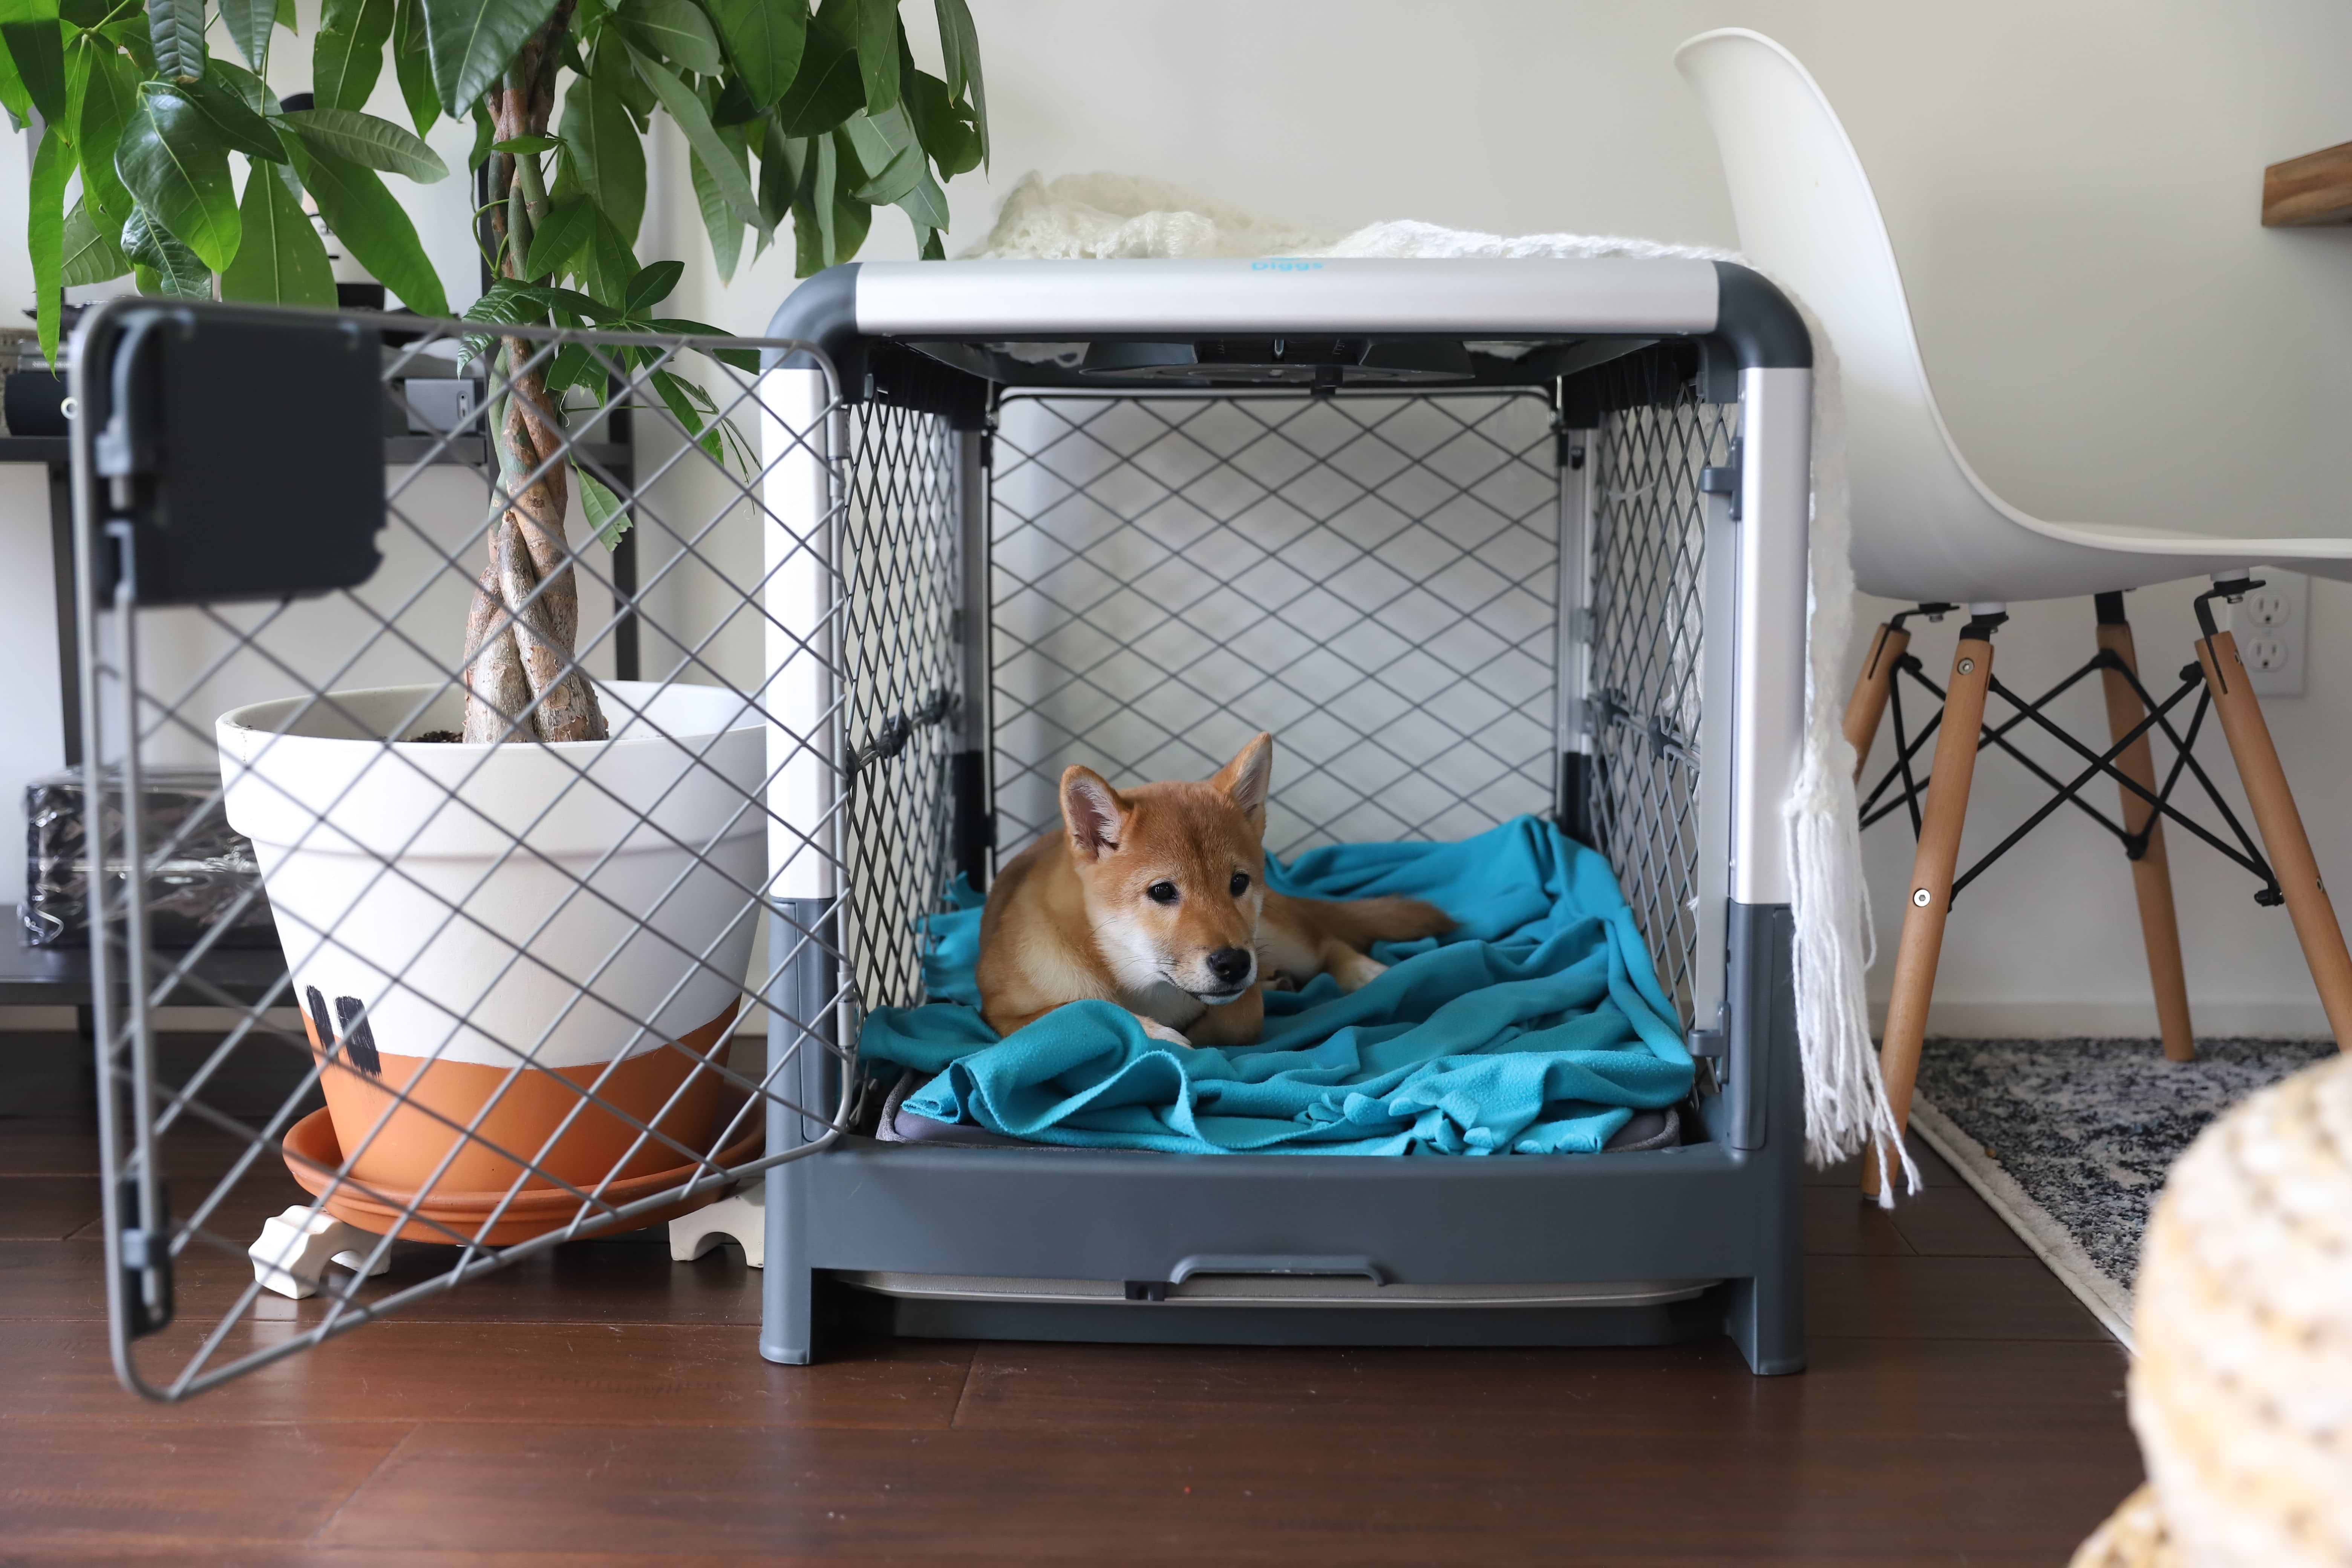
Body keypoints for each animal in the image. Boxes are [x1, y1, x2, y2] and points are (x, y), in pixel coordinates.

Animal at [974, 733, 1449, 1048]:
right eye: (1162, 891)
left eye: (1238, 882)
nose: (1234, 964)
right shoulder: (1003, 1013)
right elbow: (1088, 1010)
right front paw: (1162, 1035)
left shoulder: (1243, 991)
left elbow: (1243, 1016)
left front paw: (1201, 1031)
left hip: (1278, 936)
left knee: (1325, 941)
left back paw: (1363, 971)